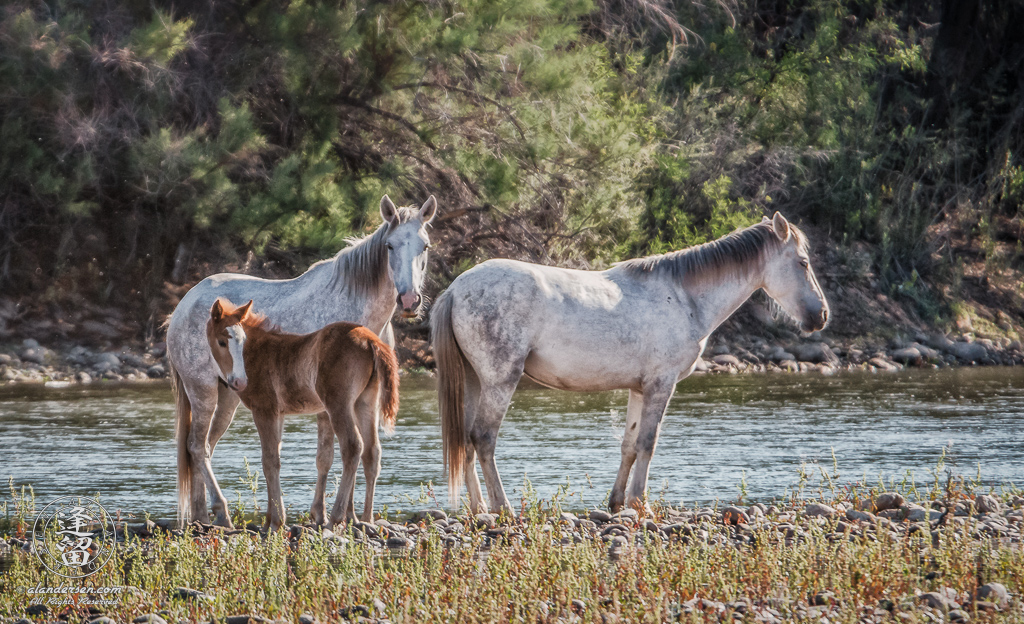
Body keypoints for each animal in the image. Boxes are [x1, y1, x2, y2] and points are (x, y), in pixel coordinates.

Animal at [204, 295, 399, 528]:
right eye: (222, 342)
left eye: (242, 342)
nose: (239, 382)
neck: (258, 352)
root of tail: (372, 341)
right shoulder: (278, 413)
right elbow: (275, 456)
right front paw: (269, 520)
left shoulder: (264, 409)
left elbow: (270, 460)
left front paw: (277, 521)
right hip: (365, 401)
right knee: (372, 451)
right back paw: (367, 518)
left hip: (339, 403)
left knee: (353, 446)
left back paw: (335, 518)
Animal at [432, 212, 831, 514]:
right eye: (802, 263)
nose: (822, 316)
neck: (684, 296)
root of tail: (455, 289)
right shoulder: (661, 385)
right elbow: (648, 443)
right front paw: (641, 503)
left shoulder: (639, 389)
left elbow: (629, 444)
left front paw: (617, 502)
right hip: (501, 380)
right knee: (483, 438)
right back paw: (503, 508)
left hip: (475, 381)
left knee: (466, 442)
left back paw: (478, 509)